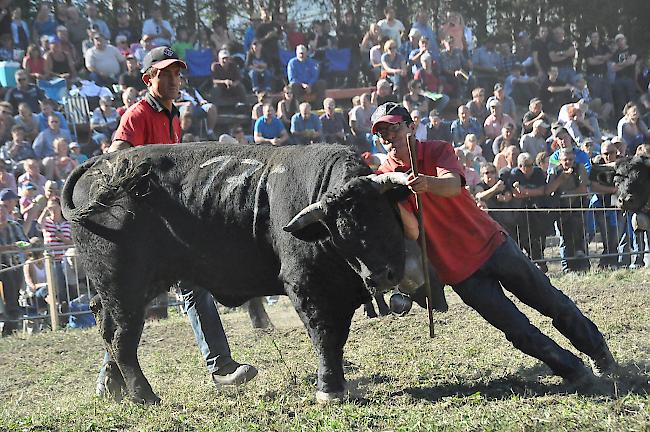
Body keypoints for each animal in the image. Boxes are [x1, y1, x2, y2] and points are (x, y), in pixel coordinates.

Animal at [62, 143, 416, 404]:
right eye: (340, 234)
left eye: (382, 215)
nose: (380, 277)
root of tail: (100, 163)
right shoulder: (306, 286)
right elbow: (325, 336)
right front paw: (329, 389)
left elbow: (337, 337)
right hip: (124, 286)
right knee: (121, 337)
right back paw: (143, 395)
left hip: (127, 289)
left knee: (107, 327)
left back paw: (114, 388)